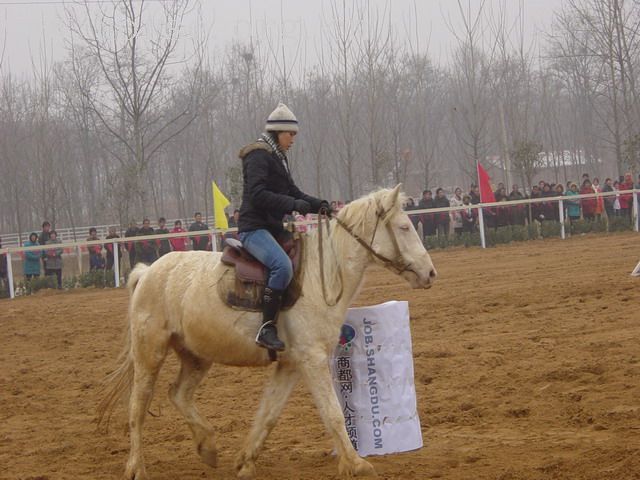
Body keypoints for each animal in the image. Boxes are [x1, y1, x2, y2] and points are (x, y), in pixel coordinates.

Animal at [97, 185, 438, 480]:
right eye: (404, 227)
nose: (430, 273)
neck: (320, 276)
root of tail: (147, 272)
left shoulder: (291, 365)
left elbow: (269, 414)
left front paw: (245, 462)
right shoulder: (313, 360)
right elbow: (332, 412)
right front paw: (356, 463)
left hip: (196, 356)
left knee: (178, 394)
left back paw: (208, 446)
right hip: (149, 354)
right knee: (137, 408)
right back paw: (136, 467)